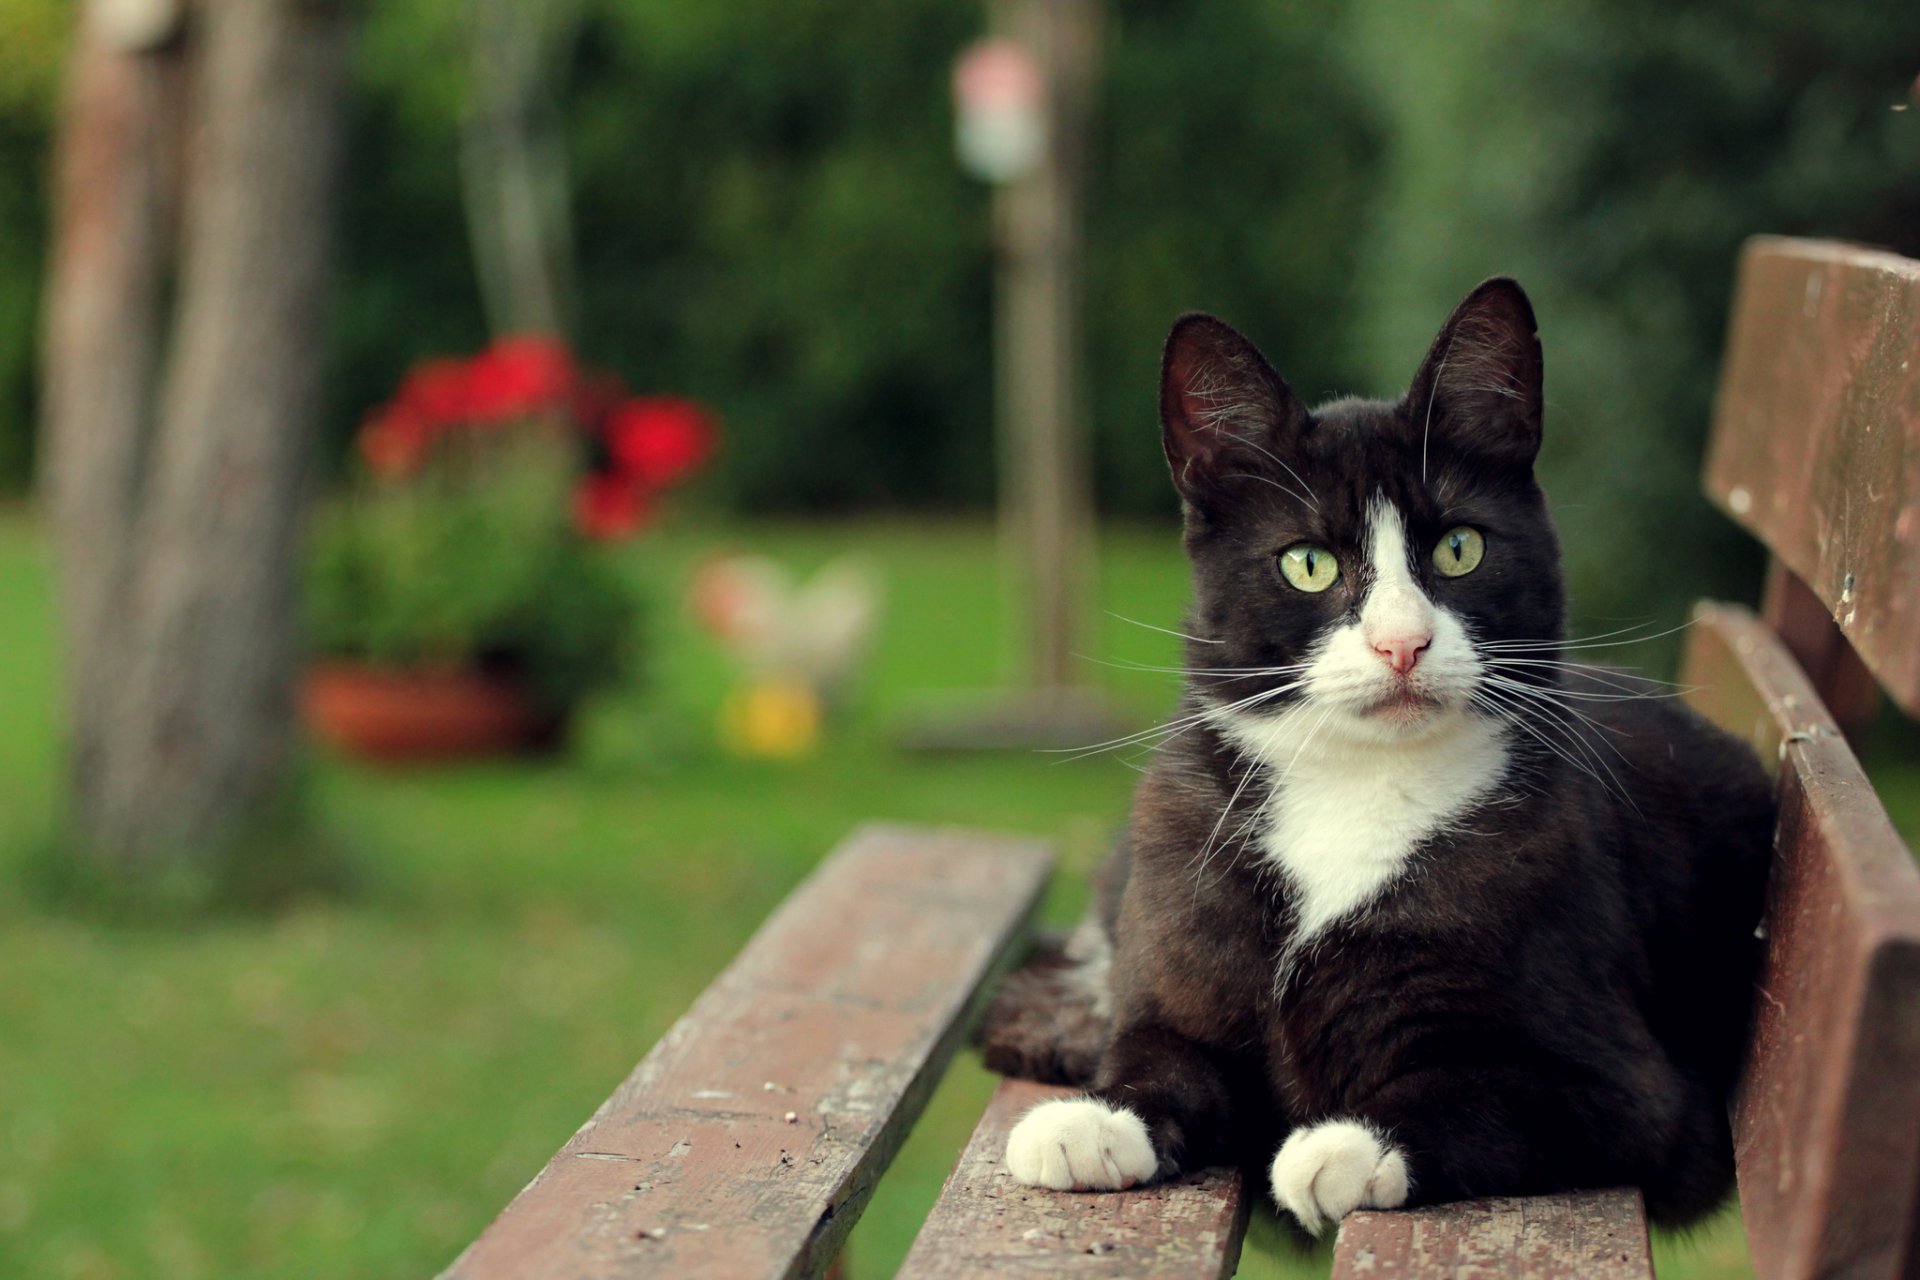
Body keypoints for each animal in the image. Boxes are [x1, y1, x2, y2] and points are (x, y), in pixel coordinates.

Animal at [983, 278, 1774, 1228]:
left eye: (1460, 548)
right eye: (1309, 564)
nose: (1403, 644)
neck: (1357, 782)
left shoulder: (1631, 1088)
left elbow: (1490, 1093)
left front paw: (1347, 1146)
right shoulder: (1187, 905)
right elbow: (1163, 1050)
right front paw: (1095, 1120)